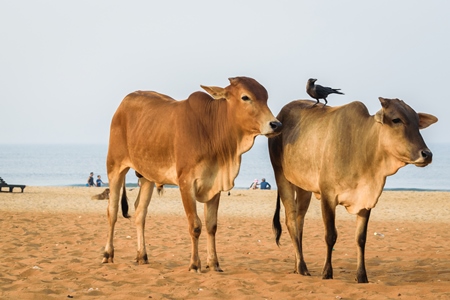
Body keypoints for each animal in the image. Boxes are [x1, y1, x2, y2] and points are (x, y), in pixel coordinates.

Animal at [103, 76, 282, 274]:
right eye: (245, 97)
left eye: (265, 97)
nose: (276, 124)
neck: (212, 130)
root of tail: (123, 105)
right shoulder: (186, 183)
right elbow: (195, 225)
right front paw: (195, 264)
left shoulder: (215, 185)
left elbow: (212, 226)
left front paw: (214, 263)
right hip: (115, 167)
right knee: (112, 211)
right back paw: (108, 253)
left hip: (147, 176)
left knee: (140, 213)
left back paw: (142, 255)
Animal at [268, 98, 438, 284]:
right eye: (396, 120)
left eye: (417, 122)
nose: (427, 154)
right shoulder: (328, 196)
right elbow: (330, 236)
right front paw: (327, 272)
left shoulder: (366, 200)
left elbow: (361, 238)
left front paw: (362, 276)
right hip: (281, 176)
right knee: (291, 221)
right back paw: (302, 267)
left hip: (304, 187)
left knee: (299, 221)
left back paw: (297, 265)